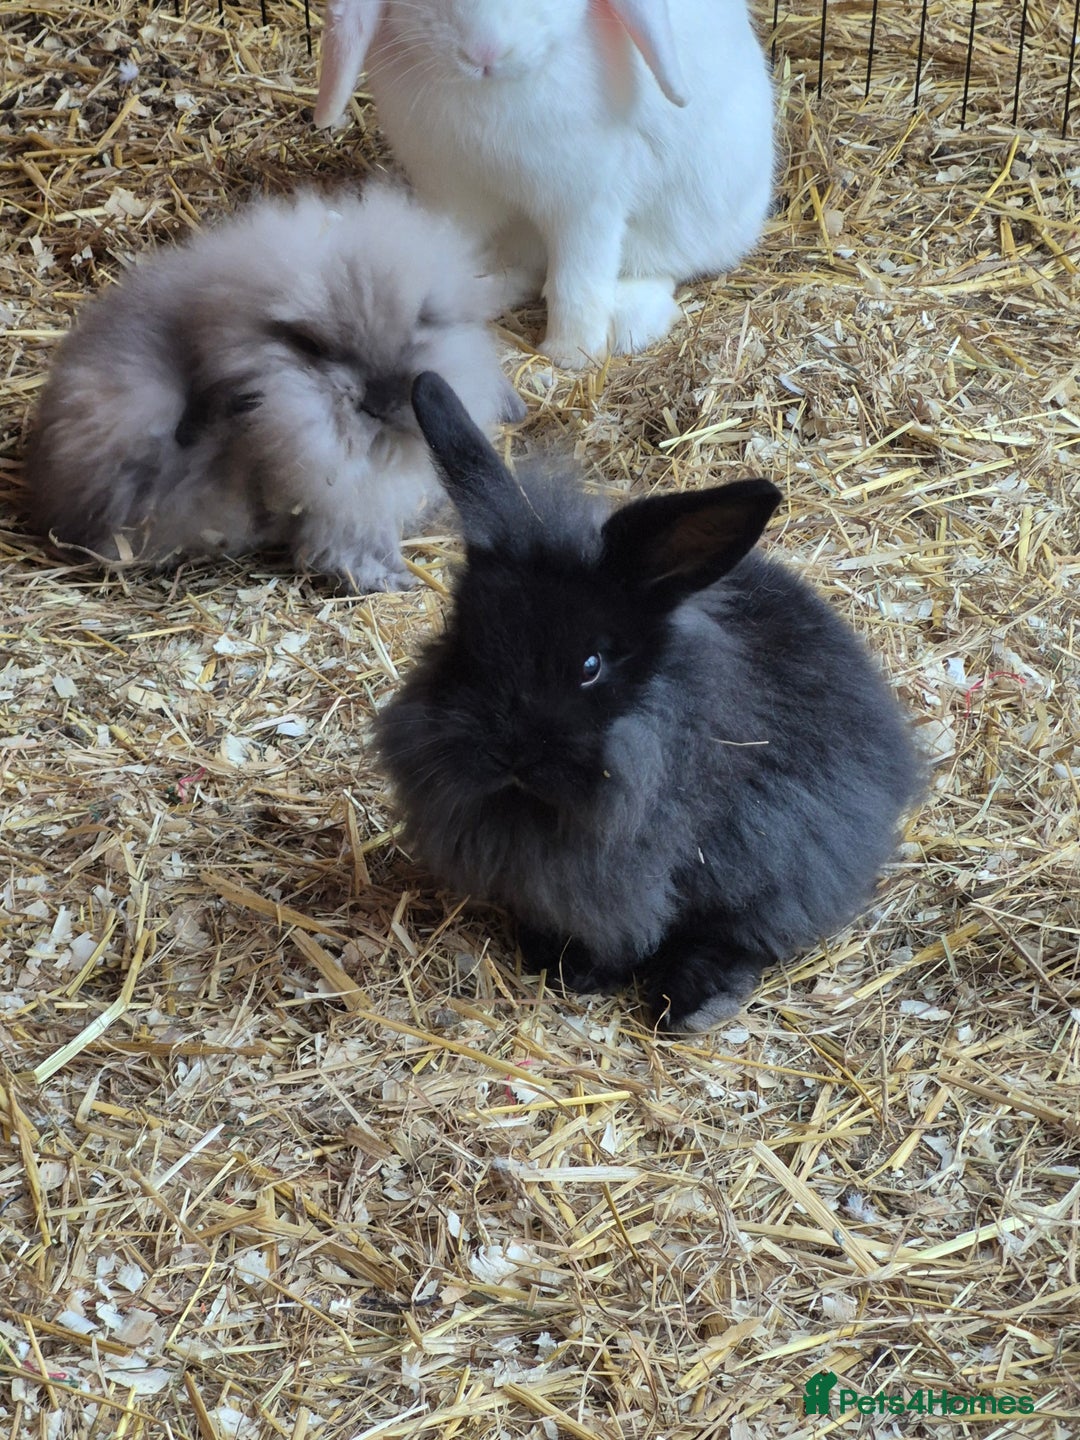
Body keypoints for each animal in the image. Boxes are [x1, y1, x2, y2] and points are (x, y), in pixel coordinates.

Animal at [24, 183, 523, 591]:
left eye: (424, 320)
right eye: (312, 345)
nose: (380, 401)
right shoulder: (336, 498)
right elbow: (343, 543)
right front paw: (388, 579)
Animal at [314, 0, 774, 369]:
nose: (484, 53)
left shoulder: (586, 203)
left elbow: (578, 278)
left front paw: (572, 354)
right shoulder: (451, 192)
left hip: (686, 218)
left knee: (659, 269)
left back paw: (630, 325)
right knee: (525, 273)